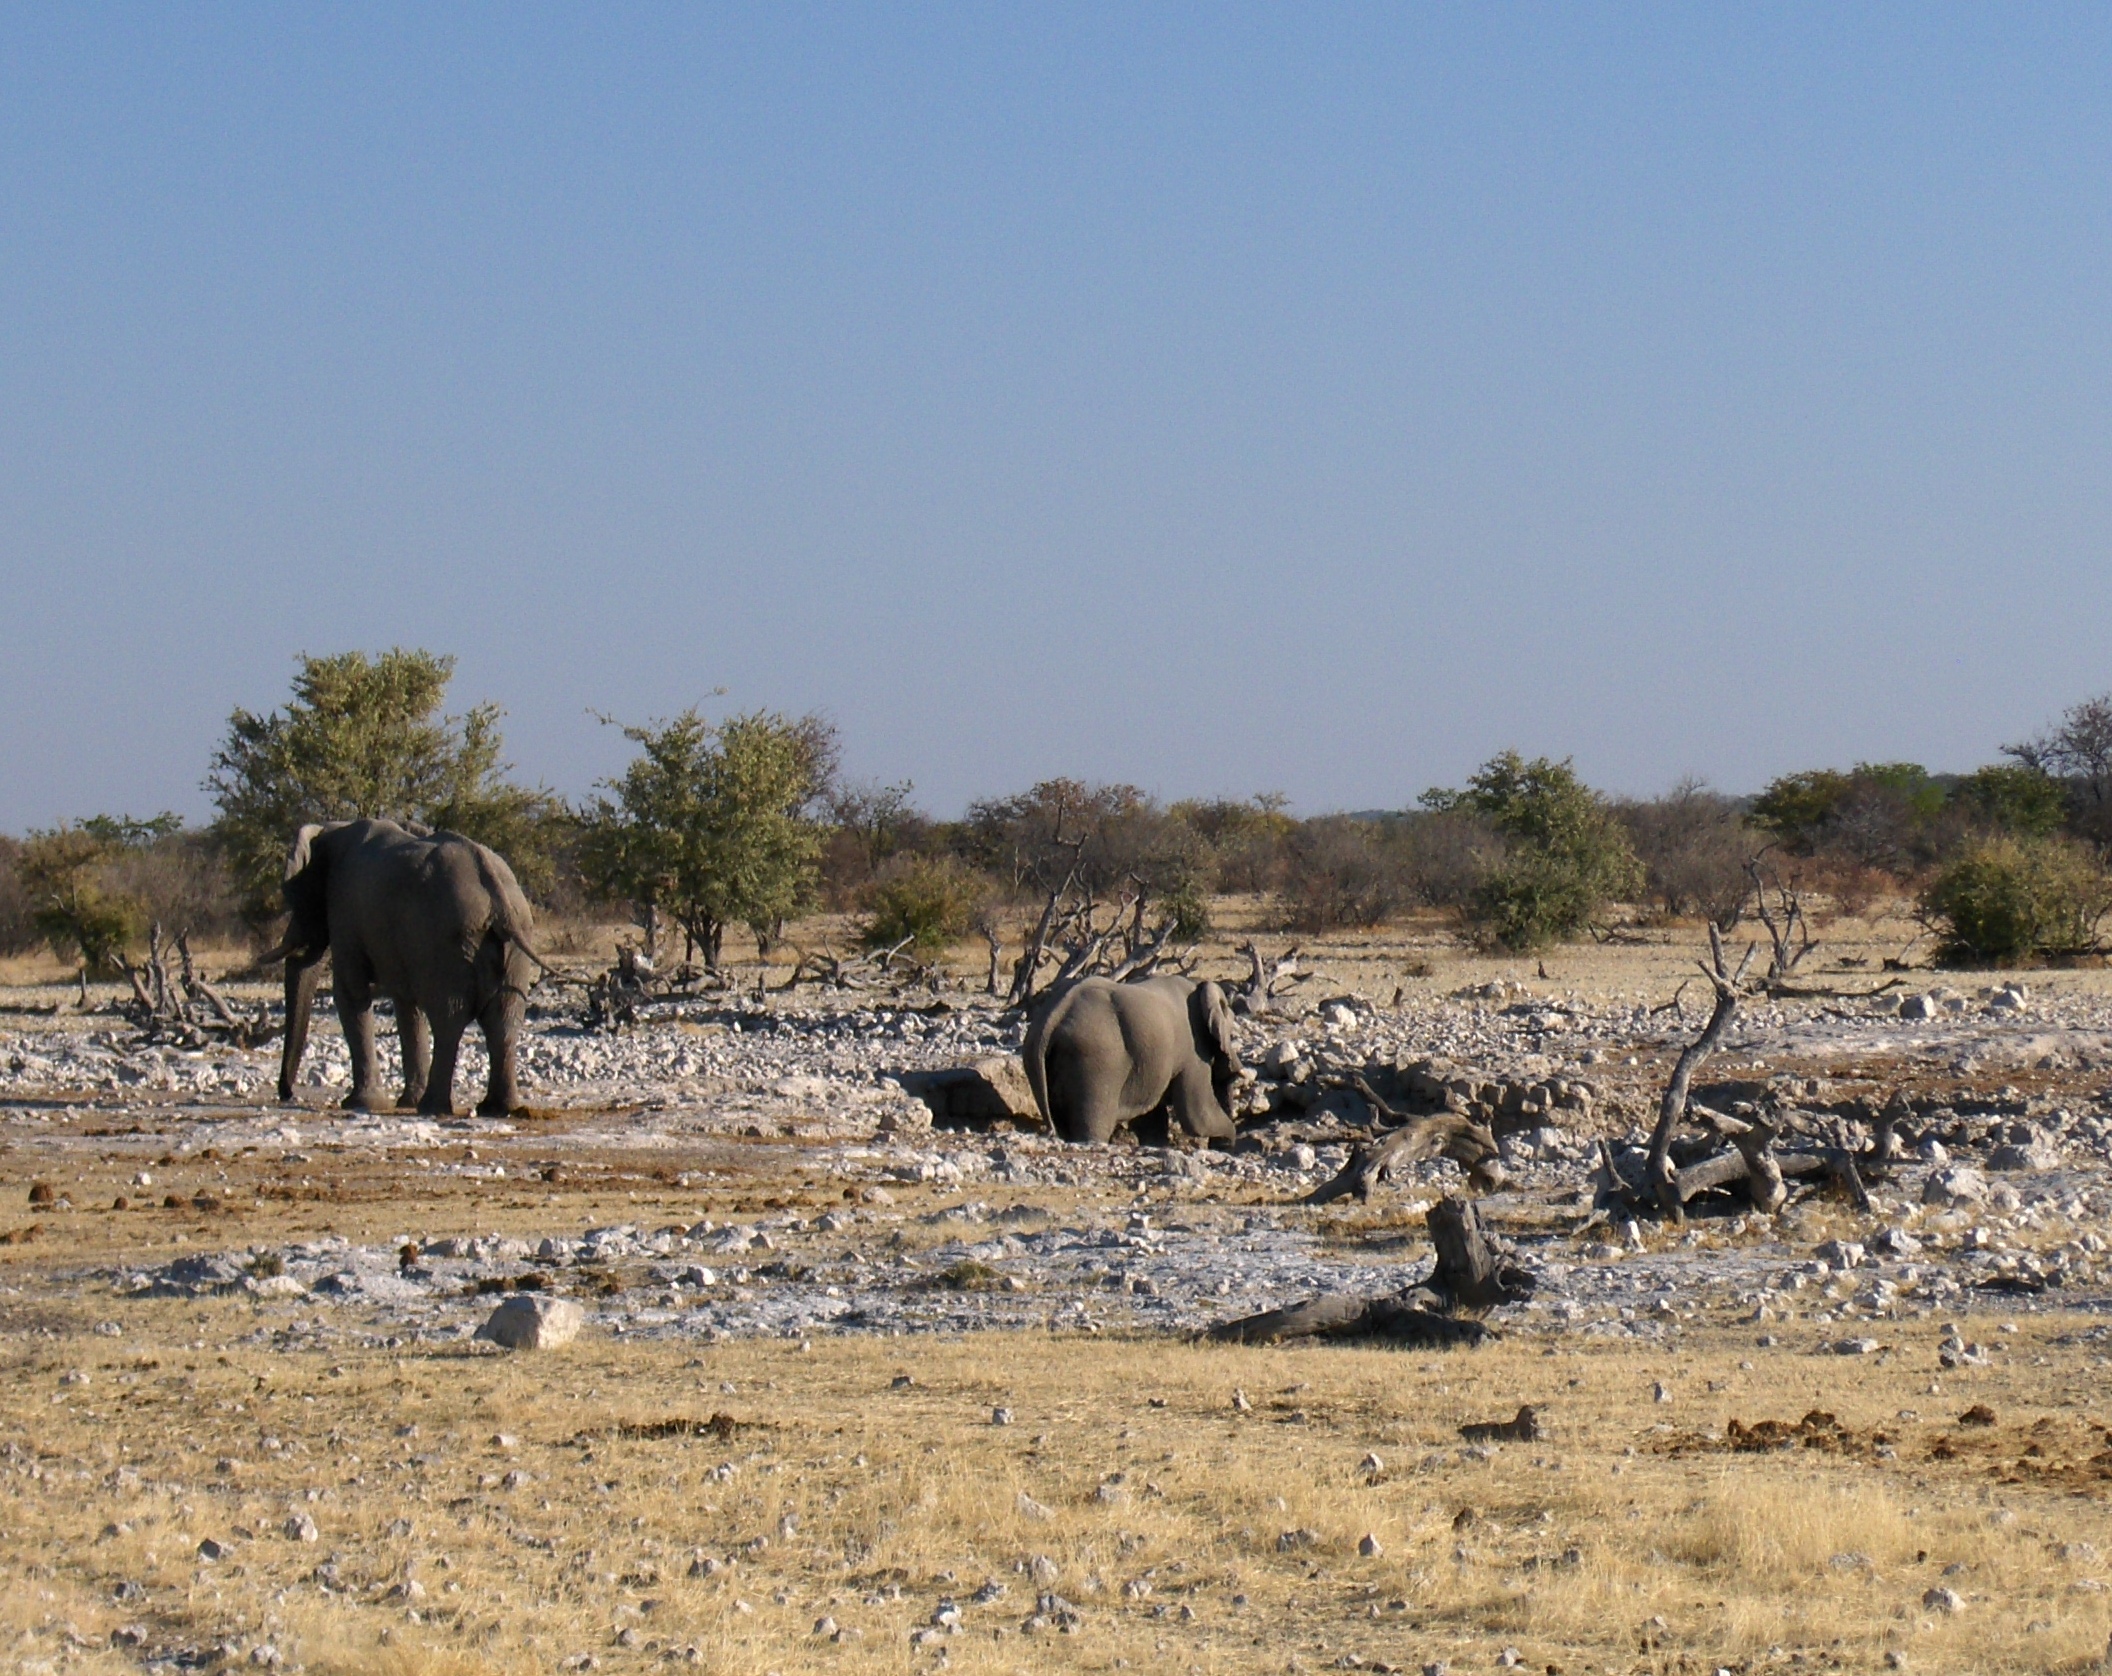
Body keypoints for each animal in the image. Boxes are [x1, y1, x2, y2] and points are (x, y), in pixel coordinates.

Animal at [267, 818, 547, 1117]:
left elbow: (350, 994)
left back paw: (433, 1108)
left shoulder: (345, 911)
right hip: (515, 943)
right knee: (503, 1019)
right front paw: (404, 1102)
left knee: (449, 1017)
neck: (333, 830)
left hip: (447, 942)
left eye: (296, 900)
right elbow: (407, 1006)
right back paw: (496, 1109)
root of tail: (496, 896)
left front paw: (361, 1104)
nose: (287, 1094)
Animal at [1022, 974, 1241, 1145]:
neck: (1198, 984)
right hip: (1095, 1060)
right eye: (1231, 1032)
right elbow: (1198, 1115)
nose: (1235, 1070)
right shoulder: (1194, 1050)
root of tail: (1053, 1015)